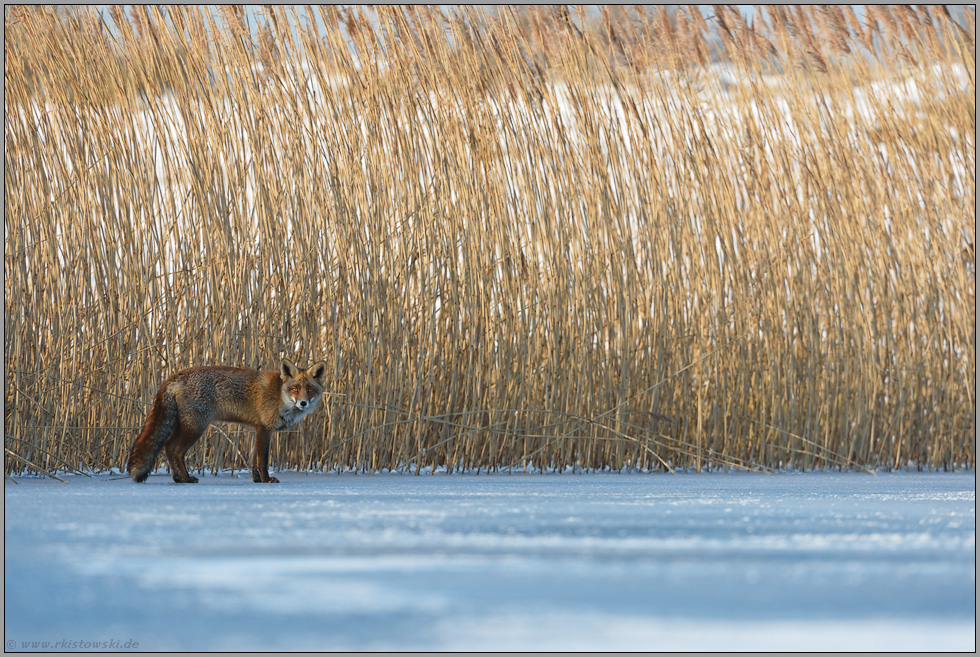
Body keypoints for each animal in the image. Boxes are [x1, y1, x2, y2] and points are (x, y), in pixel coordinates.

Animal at [128, 358, 328, 482]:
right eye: (295, 389)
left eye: (310, 389)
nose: (303, 403)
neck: (280, 395)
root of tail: (175, 376)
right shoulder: (265, 429)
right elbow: (263, 460)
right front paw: (266, 480)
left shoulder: (258, 429)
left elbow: (254, 459)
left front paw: (257, 480)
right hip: (196, 427)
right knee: (176, 451)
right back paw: (186, 478)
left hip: (184, 426)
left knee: (168, 447)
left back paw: (177, 478)